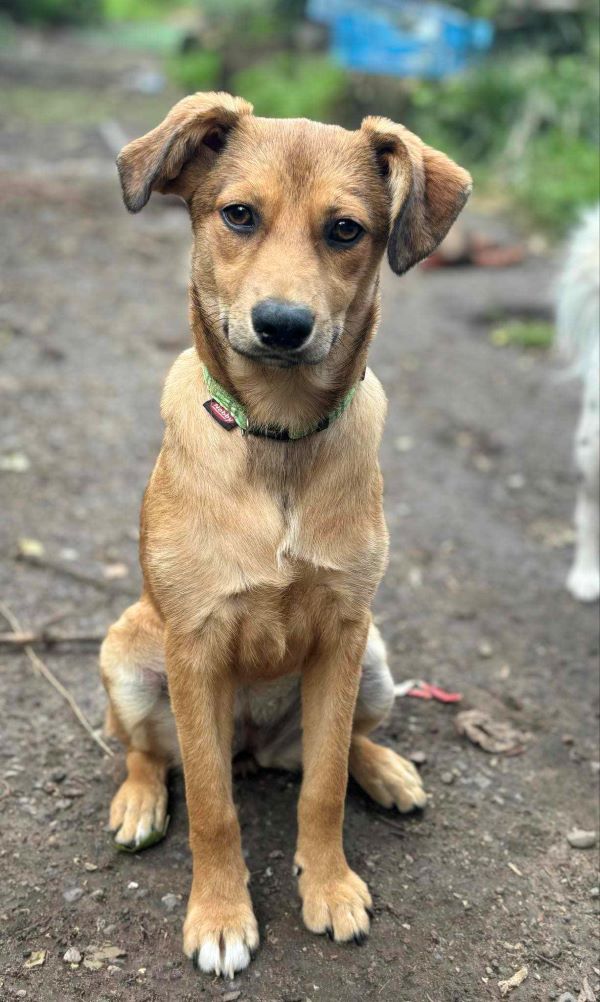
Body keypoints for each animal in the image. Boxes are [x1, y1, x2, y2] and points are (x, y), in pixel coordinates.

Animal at [101, 90, 472, 973]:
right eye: (238, 214)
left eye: (346, 230)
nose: (281, 325)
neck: (278, 441)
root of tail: (253, 743)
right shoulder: (195, 645)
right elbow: (212, 805)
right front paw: (220, 915)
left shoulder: (342, 634)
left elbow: (324, 785)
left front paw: (329, 886)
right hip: (127, 653)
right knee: (150, 751)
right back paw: (139, 802)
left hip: (374, 663)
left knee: (331, 750)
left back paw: (387, 770)